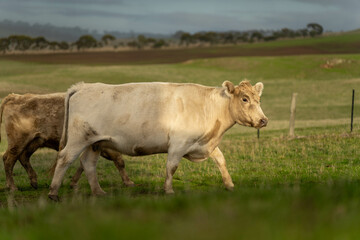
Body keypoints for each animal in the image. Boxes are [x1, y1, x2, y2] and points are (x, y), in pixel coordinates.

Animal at [0, 92, 134, 191]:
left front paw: (73, 183)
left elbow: (83, 164)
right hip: (18, 141)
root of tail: (15, 96)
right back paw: (12, 187)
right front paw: (128, 182)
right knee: (8, 159)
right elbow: (119, 161)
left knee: (23, 157)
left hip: (34, 141)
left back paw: (33, 181)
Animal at [47, 80, 268, 201]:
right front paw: (168, 190)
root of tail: (83, 87)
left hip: (95, 142)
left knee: (88, 164)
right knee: (65, 159)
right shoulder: (178, 144)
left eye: (258, 99)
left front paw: (229, 185)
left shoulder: (205, 144)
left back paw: (98, 192)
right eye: (245, 99)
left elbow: (221, 160)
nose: (263, 120)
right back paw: (53, 193)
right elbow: (172, 167)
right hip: (78, 139)